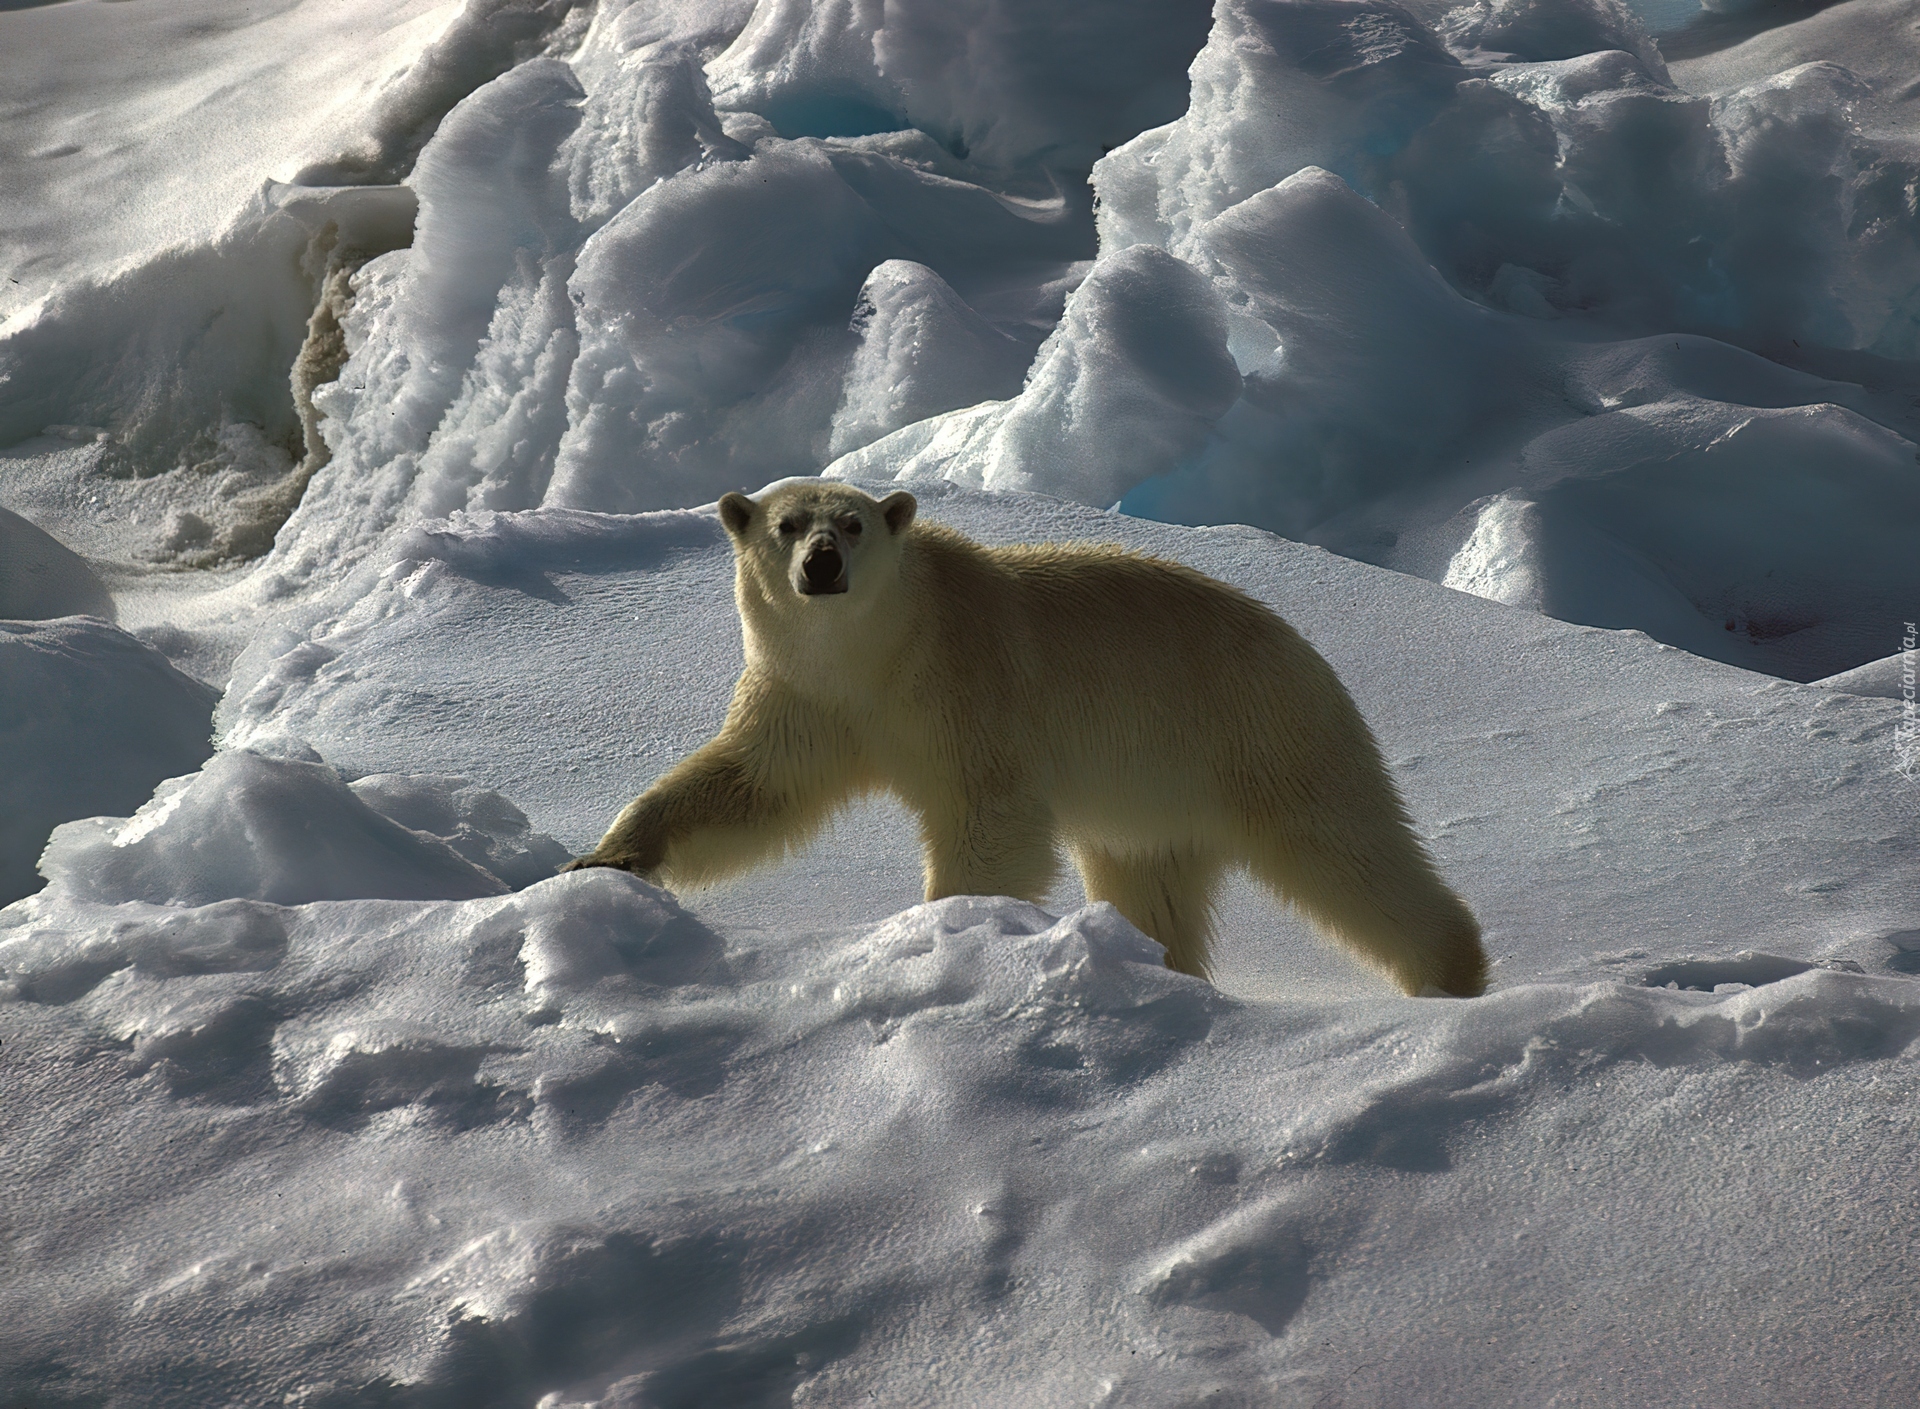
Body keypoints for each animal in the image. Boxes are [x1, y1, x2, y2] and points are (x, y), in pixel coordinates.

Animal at [560, 479, 1489, 998]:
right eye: (787, 523)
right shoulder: (810, 696)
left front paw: (942, 929)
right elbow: (753, 784)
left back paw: (1451, 971)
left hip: (1257, 733)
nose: (821, 563)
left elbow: (990, 816)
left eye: (853, 523)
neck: (882, 652)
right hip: (1156, 797)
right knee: (1150, 883)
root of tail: (1306, 648)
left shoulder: (967, 685)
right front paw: (605, 859)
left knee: (1346, 851)